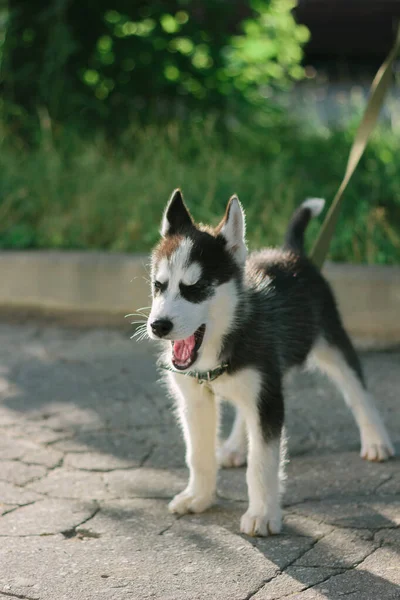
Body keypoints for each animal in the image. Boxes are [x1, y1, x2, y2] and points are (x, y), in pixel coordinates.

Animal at [147, 190, 394, 536]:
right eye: (158, 285)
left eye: (195, 288)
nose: (158, 326)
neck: (226, 336)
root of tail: (291, 252)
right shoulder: (196, 399)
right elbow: (198, 453)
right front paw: (199, 497)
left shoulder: (268, 397)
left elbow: (262, 462)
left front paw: (262, 515)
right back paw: (235, 447)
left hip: (330, 340)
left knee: (357, 390)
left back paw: (376, 440)